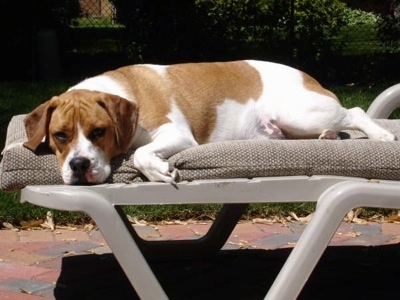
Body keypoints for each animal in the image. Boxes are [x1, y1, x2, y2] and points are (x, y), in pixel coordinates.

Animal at [23, 59, 396, 184]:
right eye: (60, 136)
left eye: (99, 132)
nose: (79, 165)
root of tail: (309, 76)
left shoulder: (176, 133)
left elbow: (141, 153)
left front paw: (158, 170)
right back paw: (329, 137)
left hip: (300, 113)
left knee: (355, 112)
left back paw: (381, 135)